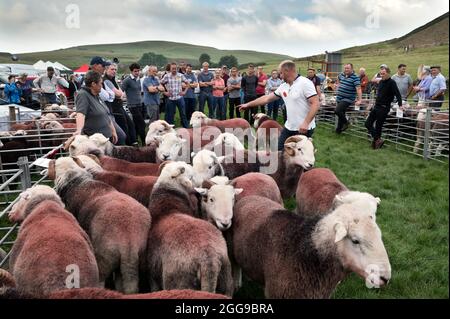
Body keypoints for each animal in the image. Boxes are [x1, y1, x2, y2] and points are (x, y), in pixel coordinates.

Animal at [148, 162, 234, 298]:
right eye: (192, 176)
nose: (204, 181)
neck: (168, 208)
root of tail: (209, 260)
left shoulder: (152, 275)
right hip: (226, 280)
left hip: (179, 282)